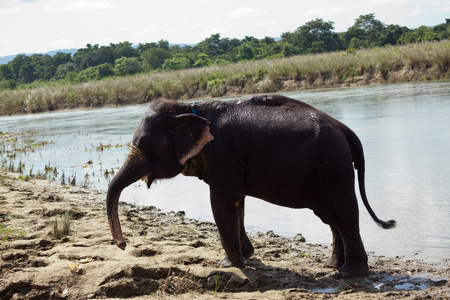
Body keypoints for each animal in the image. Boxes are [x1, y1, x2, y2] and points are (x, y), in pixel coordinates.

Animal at [107, 94, 396, 276]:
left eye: (146, 145)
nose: (123, 245)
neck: (188, 107)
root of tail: (346, 130)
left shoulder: (223, 157)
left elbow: (221, 202)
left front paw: (228, 264)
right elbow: (238, 202)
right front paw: (246, 257)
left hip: (333, 167)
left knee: (343, 213)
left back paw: (348, 275)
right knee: (332, 217)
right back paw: (332, 267)